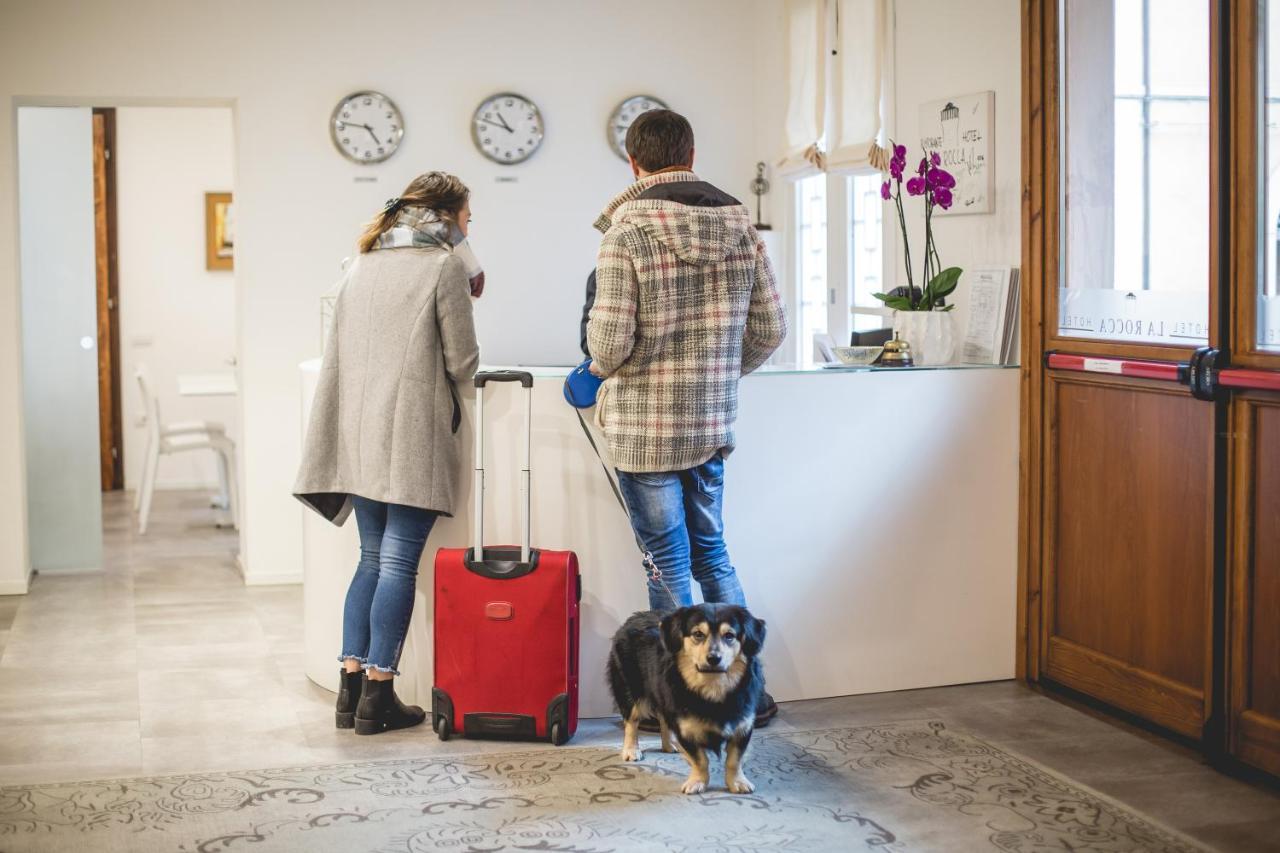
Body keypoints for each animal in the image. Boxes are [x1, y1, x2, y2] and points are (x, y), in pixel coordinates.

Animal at [604, 601, 762, 794]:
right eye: (698, 634)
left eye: (729, 635)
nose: (714, 658)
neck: (713, 690)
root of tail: (632, 618)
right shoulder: (686, 730)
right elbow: (701, 760)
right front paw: (698, 782)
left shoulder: (742, 727)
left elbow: (734, 760)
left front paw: (737, 782)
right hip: (631, 691)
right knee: (631, 723)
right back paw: (631, 749)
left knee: (663, 720)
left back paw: (669, 745)